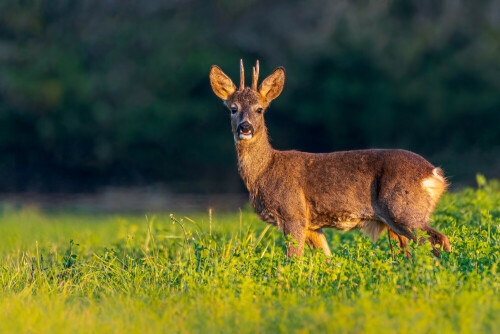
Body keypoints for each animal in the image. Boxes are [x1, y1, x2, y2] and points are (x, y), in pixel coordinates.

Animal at [209, 60, 452, 258]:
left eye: (259, 109)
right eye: (233, 109)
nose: (245, 128)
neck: (264, 170)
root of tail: (434, 173)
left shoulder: (293, 214)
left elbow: (293, 260)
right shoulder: (312, 225)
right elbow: (327, 259)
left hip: (403, 209)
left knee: (439, 240)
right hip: (397, 220)